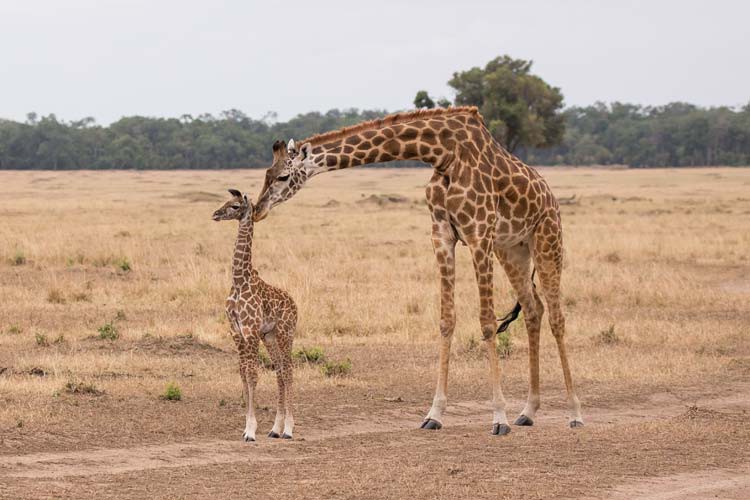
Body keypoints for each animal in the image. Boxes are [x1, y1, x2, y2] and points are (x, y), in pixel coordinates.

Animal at [213, 188, 298, 442]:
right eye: (226, 202)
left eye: (234, 206)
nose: (215, 214)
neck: (239, 281)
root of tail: (296, 305)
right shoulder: (236, 330)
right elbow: (243, 373)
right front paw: (247, 427)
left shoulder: (250, 330)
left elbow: (252, 375)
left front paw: (251, 431)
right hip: (269, 336)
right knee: (279, 371)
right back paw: (275, 429)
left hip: (285, 333)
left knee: (288, 370)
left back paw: (288, 429)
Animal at [256, 106, 584, 434]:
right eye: (266, 174)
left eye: (283, 176)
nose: (258, 210)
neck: (442, 153)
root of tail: (551, 197)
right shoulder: (441, 235)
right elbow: (446, 320)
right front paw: (434, 414)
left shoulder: (479, 234)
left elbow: (487, 323)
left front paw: (499, 418)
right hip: (512, 250)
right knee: (533, 308)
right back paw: (528, 411)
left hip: (547, 240)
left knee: (556, 317)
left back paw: (574, 413)